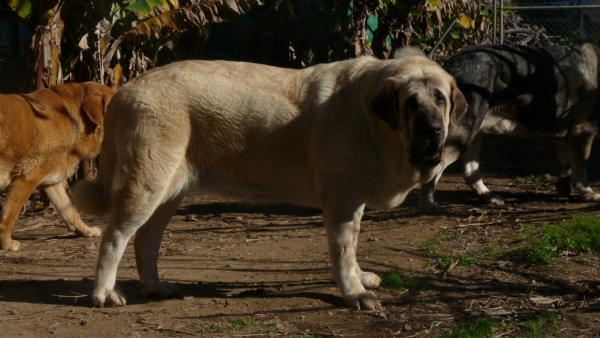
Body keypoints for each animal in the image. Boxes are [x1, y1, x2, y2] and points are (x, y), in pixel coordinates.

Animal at [0, 82, 115, 251]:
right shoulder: (27, 179)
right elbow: (9, 216)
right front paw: (7, 244)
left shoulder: (51, 181)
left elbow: (70, 210)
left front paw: (86, 231)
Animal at [75, 46, 468, 308]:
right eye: (411, 103)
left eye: (440, 99)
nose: (433, 131)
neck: (375, 122)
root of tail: (127, 90)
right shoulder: (341, 201)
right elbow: (343, 250)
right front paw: (353, 292)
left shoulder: (352, 202)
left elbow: (353, 246)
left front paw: (359, 278)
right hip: (146, 187)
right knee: (114, 238)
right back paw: (103, 293)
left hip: (168, 192)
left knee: (145, 240)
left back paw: (154, 287)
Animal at [418, 41, 600, 211]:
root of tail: (450, 65)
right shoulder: (582, 130)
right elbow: (580, 168)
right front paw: (587, 193)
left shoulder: (553, 134)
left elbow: (569, 163)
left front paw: (563, 185)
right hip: (464, 133)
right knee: (434, 169)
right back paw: (430, 206)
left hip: (474, 132)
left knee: (470, 172)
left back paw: (490, 198)